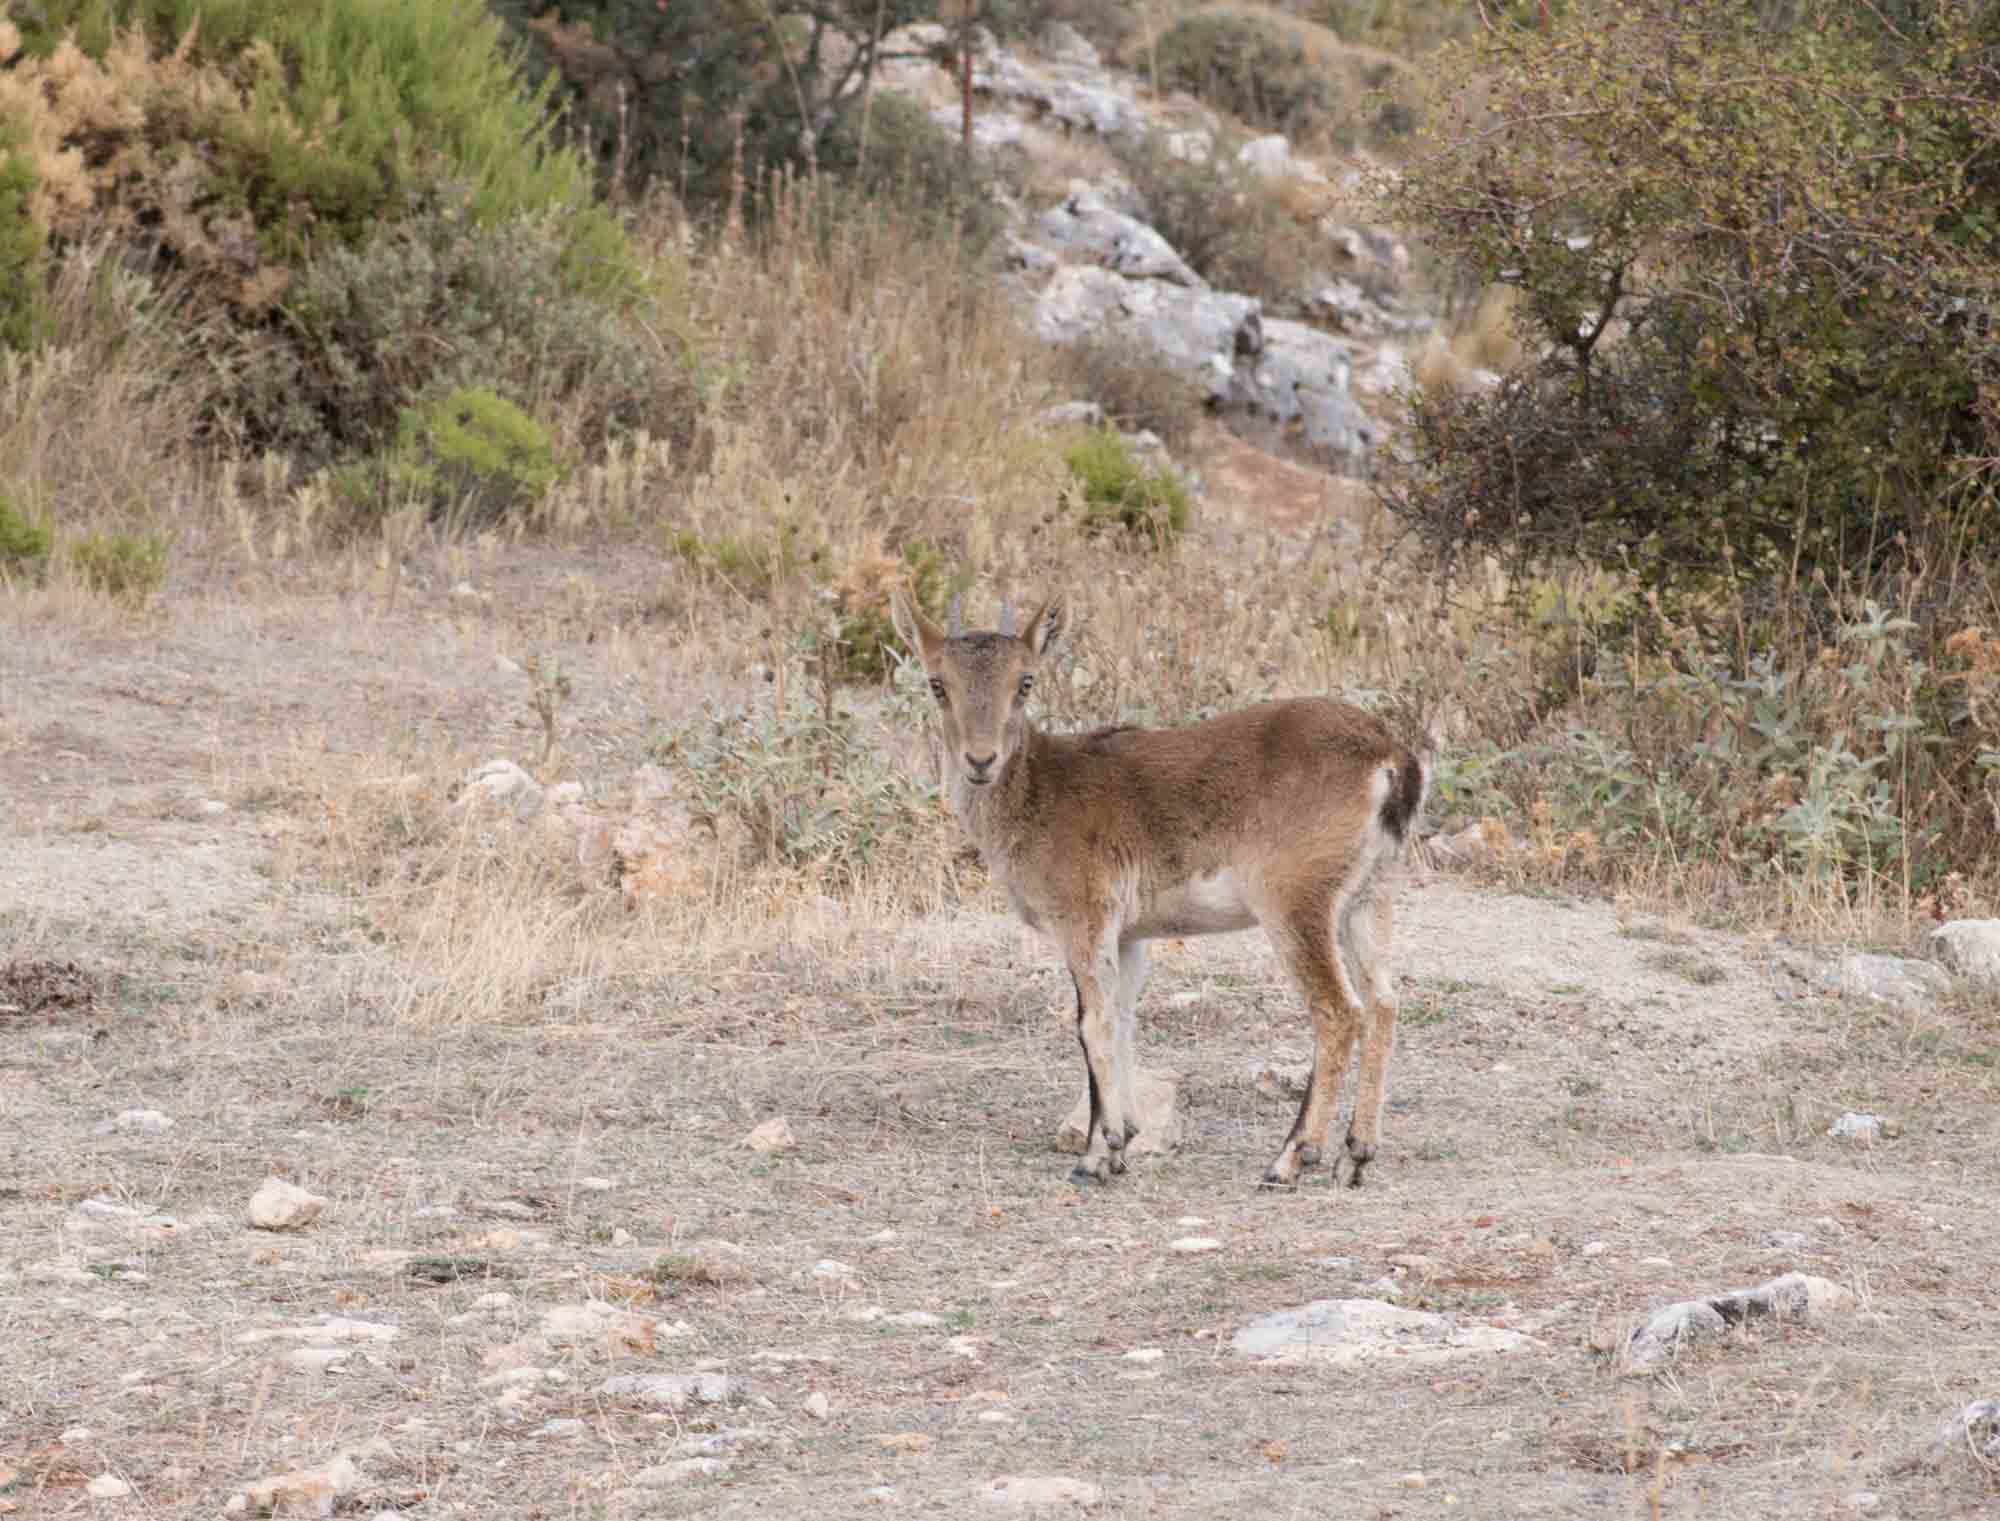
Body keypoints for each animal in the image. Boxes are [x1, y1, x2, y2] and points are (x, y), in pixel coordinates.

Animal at [891, 590, 1428, 1189]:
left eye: (1025, 681)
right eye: (938, 683)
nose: (980, 760)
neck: (1038, 792)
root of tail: (1391, 760)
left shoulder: (1084, 915)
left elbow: (1092, 1023)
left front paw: (1095, 1157)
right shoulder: (1129, 935)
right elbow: (1123, 1017)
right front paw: (1121, 1140)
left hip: (1295, 898)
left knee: (1338, 1010)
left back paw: (1289, 1157)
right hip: (1371, 894)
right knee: (1384, 1001)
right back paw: (1355, 1155)